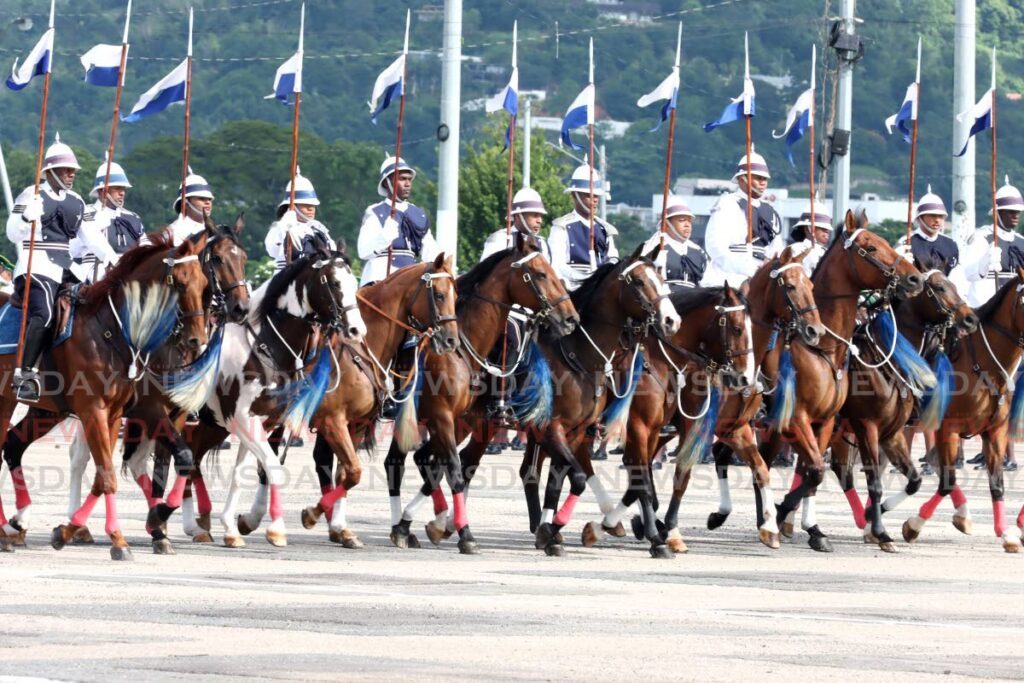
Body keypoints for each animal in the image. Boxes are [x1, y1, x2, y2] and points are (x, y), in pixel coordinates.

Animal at [0, 232, 209, 557]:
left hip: (46, 411)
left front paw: (76, 531)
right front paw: (127, 535)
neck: (114, 332)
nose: (196, 340)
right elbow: (109, 474)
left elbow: (106, 474)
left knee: (11, 446)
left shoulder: (118, 412)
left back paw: (16, 524)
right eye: (180, 282)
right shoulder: (99, 410)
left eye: (204, 284)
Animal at [380, 235, 581, 557]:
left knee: (411, 462)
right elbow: (454, 471)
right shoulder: (443, 418)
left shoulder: (467, 422)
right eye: (540, 274)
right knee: (396, 463)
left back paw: (407, 527)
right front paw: (465, 534)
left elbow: (449, 468)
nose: (570, 318)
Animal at [651, 242, 827, 552]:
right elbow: (684, 472)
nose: (814, 330)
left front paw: (769, 525)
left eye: (811, 285)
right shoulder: (698, 424)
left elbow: (762, 469)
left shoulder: (736, 427)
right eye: (790, 286)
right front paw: (672, 530)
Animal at [823, 264, 974, 552]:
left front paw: (878, 517)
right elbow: (875, 482)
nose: (971, 319)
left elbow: (914, 481)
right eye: (940, 287)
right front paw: (879, 529)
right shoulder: (867, 427)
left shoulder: (892, 433)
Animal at [901, 270, 1024, 552]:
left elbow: (996, 484)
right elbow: (947, 482)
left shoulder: (995, 432)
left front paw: (1006, 533)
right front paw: (914, 525)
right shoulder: (949, 429)